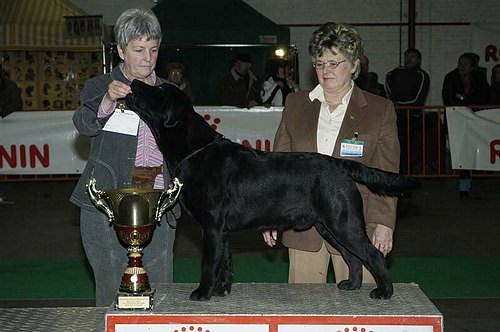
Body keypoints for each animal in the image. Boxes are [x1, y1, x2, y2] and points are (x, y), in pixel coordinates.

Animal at [125, 80, 418, 300]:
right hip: (329, 226)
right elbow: (225, 263)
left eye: (158, 89)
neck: (195, 150)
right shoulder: (222, 230)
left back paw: (384, 292)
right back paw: (352, 285)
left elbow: (209, 263)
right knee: (353, 257)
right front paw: (221, 291)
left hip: (343, 222)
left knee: (372, 254)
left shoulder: (212, 225)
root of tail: (340, 164)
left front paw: (203, 293)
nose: (135, 81)